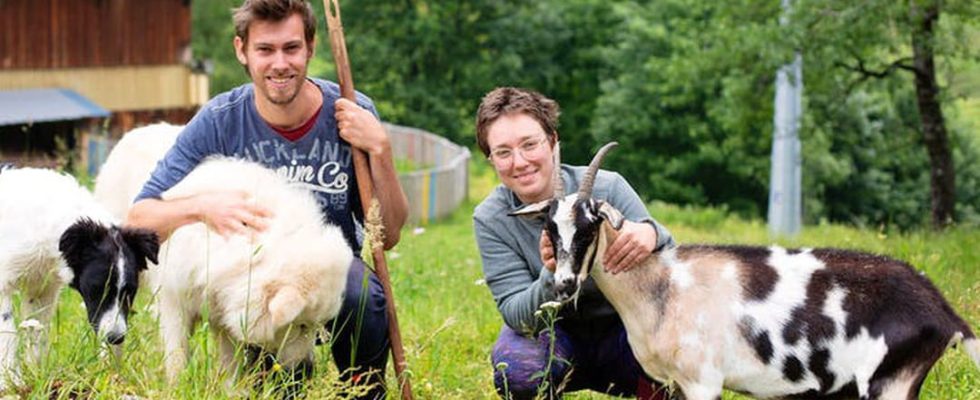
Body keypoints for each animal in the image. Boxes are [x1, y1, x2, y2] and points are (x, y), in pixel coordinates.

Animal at [512, 144, 980, 400]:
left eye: (591, 225)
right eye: (549, 228)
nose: (565, 283)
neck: (663, 287)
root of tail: (943, 312)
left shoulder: (703, 381)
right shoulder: (671, 383)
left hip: (886, 384)